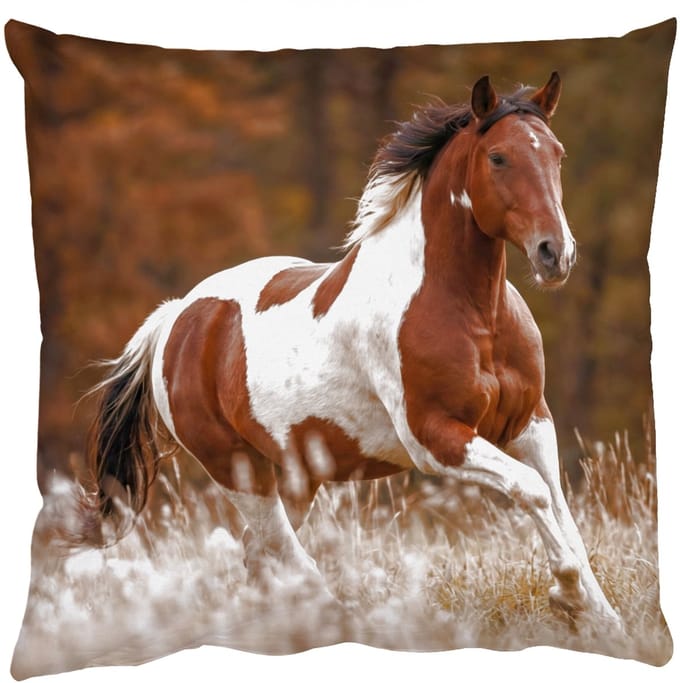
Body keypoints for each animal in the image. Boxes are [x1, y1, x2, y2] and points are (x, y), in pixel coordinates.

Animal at [86, 72, 621, 629]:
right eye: (498, 157)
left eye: (557, 154)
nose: (555, 254)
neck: (475, 315)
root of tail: (176, 318)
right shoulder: (435, 439)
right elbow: (532, 491)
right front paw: (567, 594)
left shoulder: (530, 424)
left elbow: (561, 511)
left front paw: (604, 619)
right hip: (237, 469)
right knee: (282, 556)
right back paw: (339, 617)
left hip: (295, 475)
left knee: (261, 555)